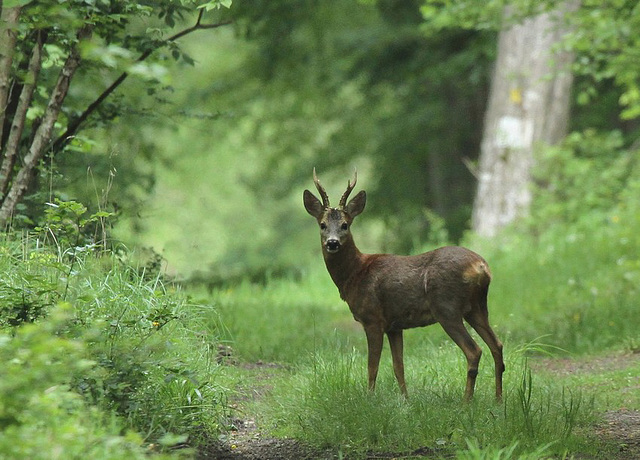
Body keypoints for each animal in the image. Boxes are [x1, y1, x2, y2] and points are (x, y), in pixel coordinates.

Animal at [304, 171, 504, 400]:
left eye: (345, 224)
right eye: (322, 224)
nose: (332, 242)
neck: (355, 274)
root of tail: (481, 266)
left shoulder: (372, 318)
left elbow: (372, 366)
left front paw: (369, 398)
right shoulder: (394, 325)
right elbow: (398, 366)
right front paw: (405, 399)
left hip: (447, 307)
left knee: (474, 351)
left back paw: (466, 402)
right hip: (477, 307)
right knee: (497, 345)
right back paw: (498, 400)